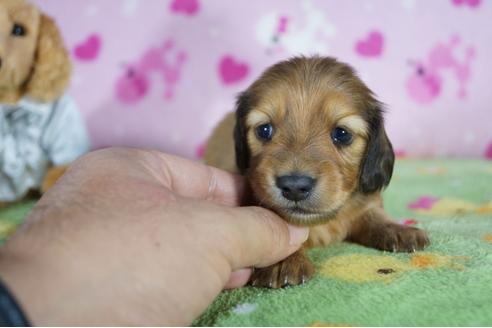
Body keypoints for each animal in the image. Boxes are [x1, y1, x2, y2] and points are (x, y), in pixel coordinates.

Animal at [203, 56, 426, 288]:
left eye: (342, 134)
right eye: (264, 130)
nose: (294, 186)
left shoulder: (364, 203)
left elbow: (373, 215)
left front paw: (396, 229)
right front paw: (284, 260)